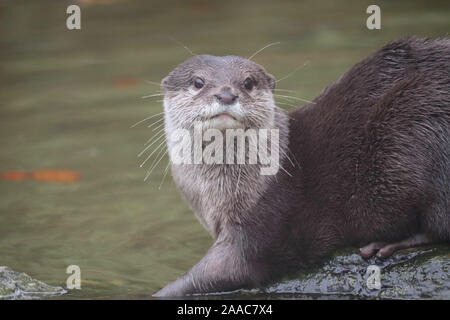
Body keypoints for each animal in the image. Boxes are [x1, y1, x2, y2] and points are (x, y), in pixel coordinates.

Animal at [153, 38, 448, 298]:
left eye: (248, 82)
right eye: (198, 82)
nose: (226, 94)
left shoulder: (264, 217)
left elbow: (227, 268)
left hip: (417, 123)